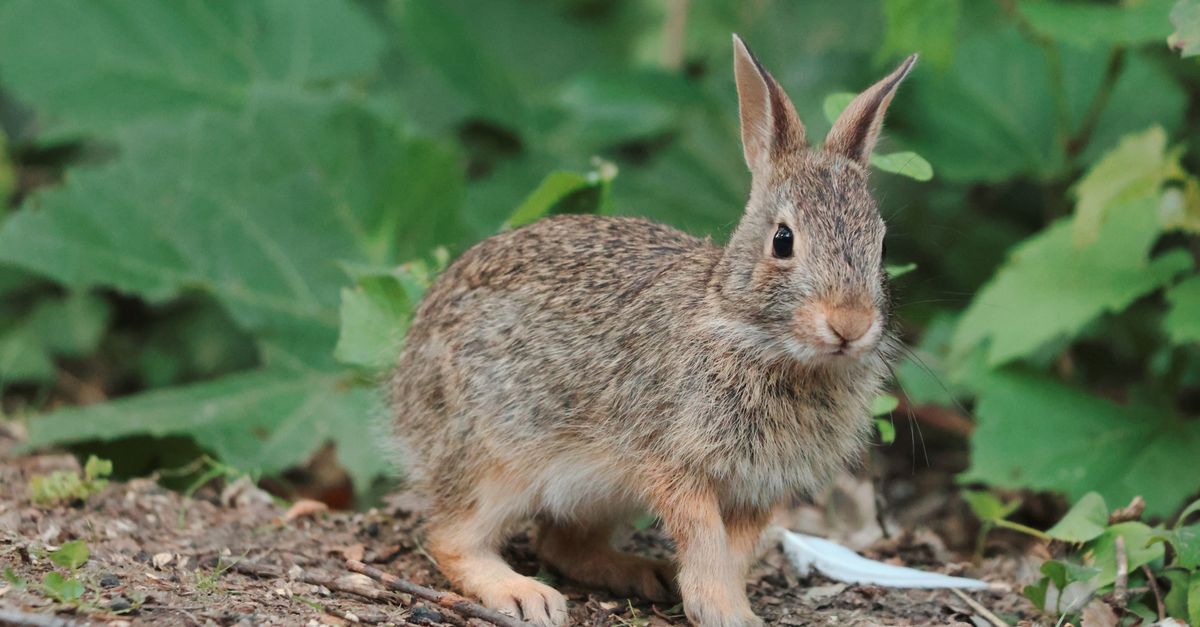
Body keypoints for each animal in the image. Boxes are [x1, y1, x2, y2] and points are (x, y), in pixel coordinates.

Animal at [389, 34, 916, 627]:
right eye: (783, 241)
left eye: (882, 248)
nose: (850, 323)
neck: (752, 333)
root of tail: (405, 384)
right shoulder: (671, 461)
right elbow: (704, 537)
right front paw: (720, 609)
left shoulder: (758, 488)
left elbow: (737, 551)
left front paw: (730, 607)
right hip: (498, 457)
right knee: (452, 536)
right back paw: (524, 594)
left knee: (561, 545)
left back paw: (645, 574)